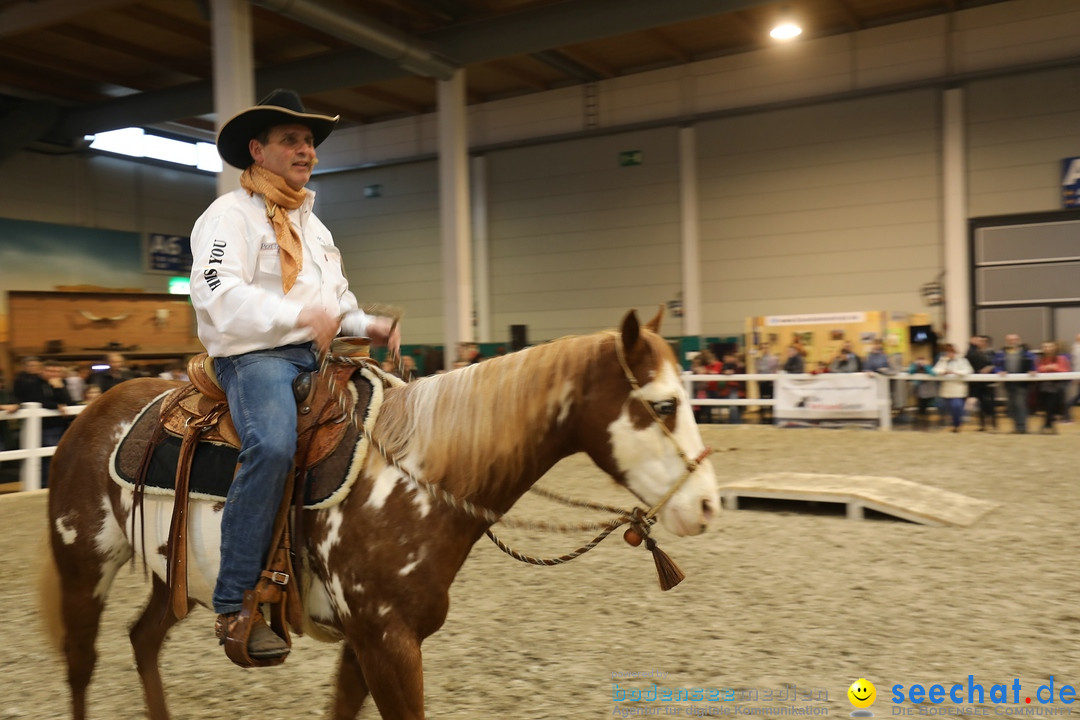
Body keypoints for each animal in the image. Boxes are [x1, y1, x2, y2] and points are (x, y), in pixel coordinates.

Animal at [39, 310, 717, 720]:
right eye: (663, 404)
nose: (707, 504)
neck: (414, 478)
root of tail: (92, 409)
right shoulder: (387, 642)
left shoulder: (368, 643)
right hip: (81, 565)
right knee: (80, 662)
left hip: (173, 575)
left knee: (142, 639)